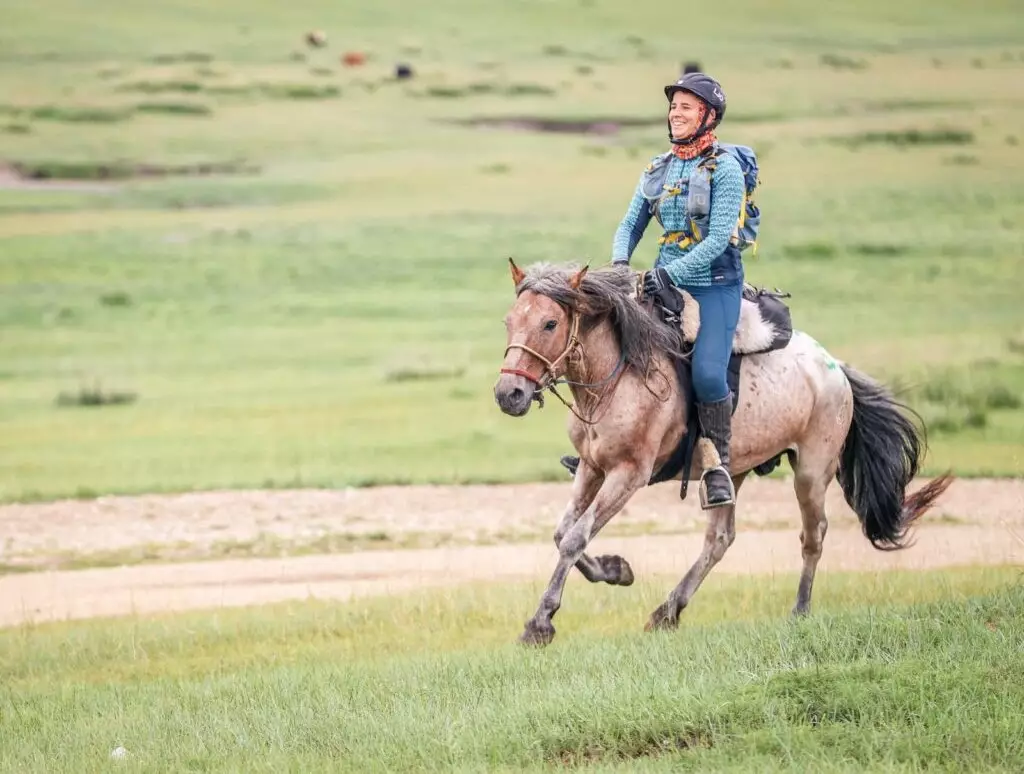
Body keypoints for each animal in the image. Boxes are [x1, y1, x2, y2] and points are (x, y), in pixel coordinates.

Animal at [493, 260, 950, 647]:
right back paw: (667, 611)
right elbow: (563, 533)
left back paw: (799, 610)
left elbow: (574, 537)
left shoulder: (628, 473)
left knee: (813, 535)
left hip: (811, 471)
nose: (508, 394)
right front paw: (616, 570)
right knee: (720, 538)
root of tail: (834, 366)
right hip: (735, 470)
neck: (619, 376)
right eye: (509, 322)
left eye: (550, 322)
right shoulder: (591, 468)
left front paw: (540, 623)